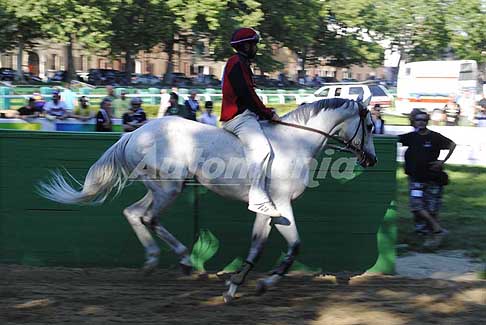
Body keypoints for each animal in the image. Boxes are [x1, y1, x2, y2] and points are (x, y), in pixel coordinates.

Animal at [39, 96, 378, 302]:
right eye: (370, 126)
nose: (371, 160)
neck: (295, 143)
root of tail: (135, 133)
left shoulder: (268, 210)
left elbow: (259, 246)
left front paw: (239, 285)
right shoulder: (282, 204)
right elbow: (293, 246)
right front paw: (253, 284)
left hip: (159, 188)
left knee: (134, 213)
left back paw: (160, 261)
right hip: (169, 188)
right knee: (148, 216)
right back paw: (181, 260)